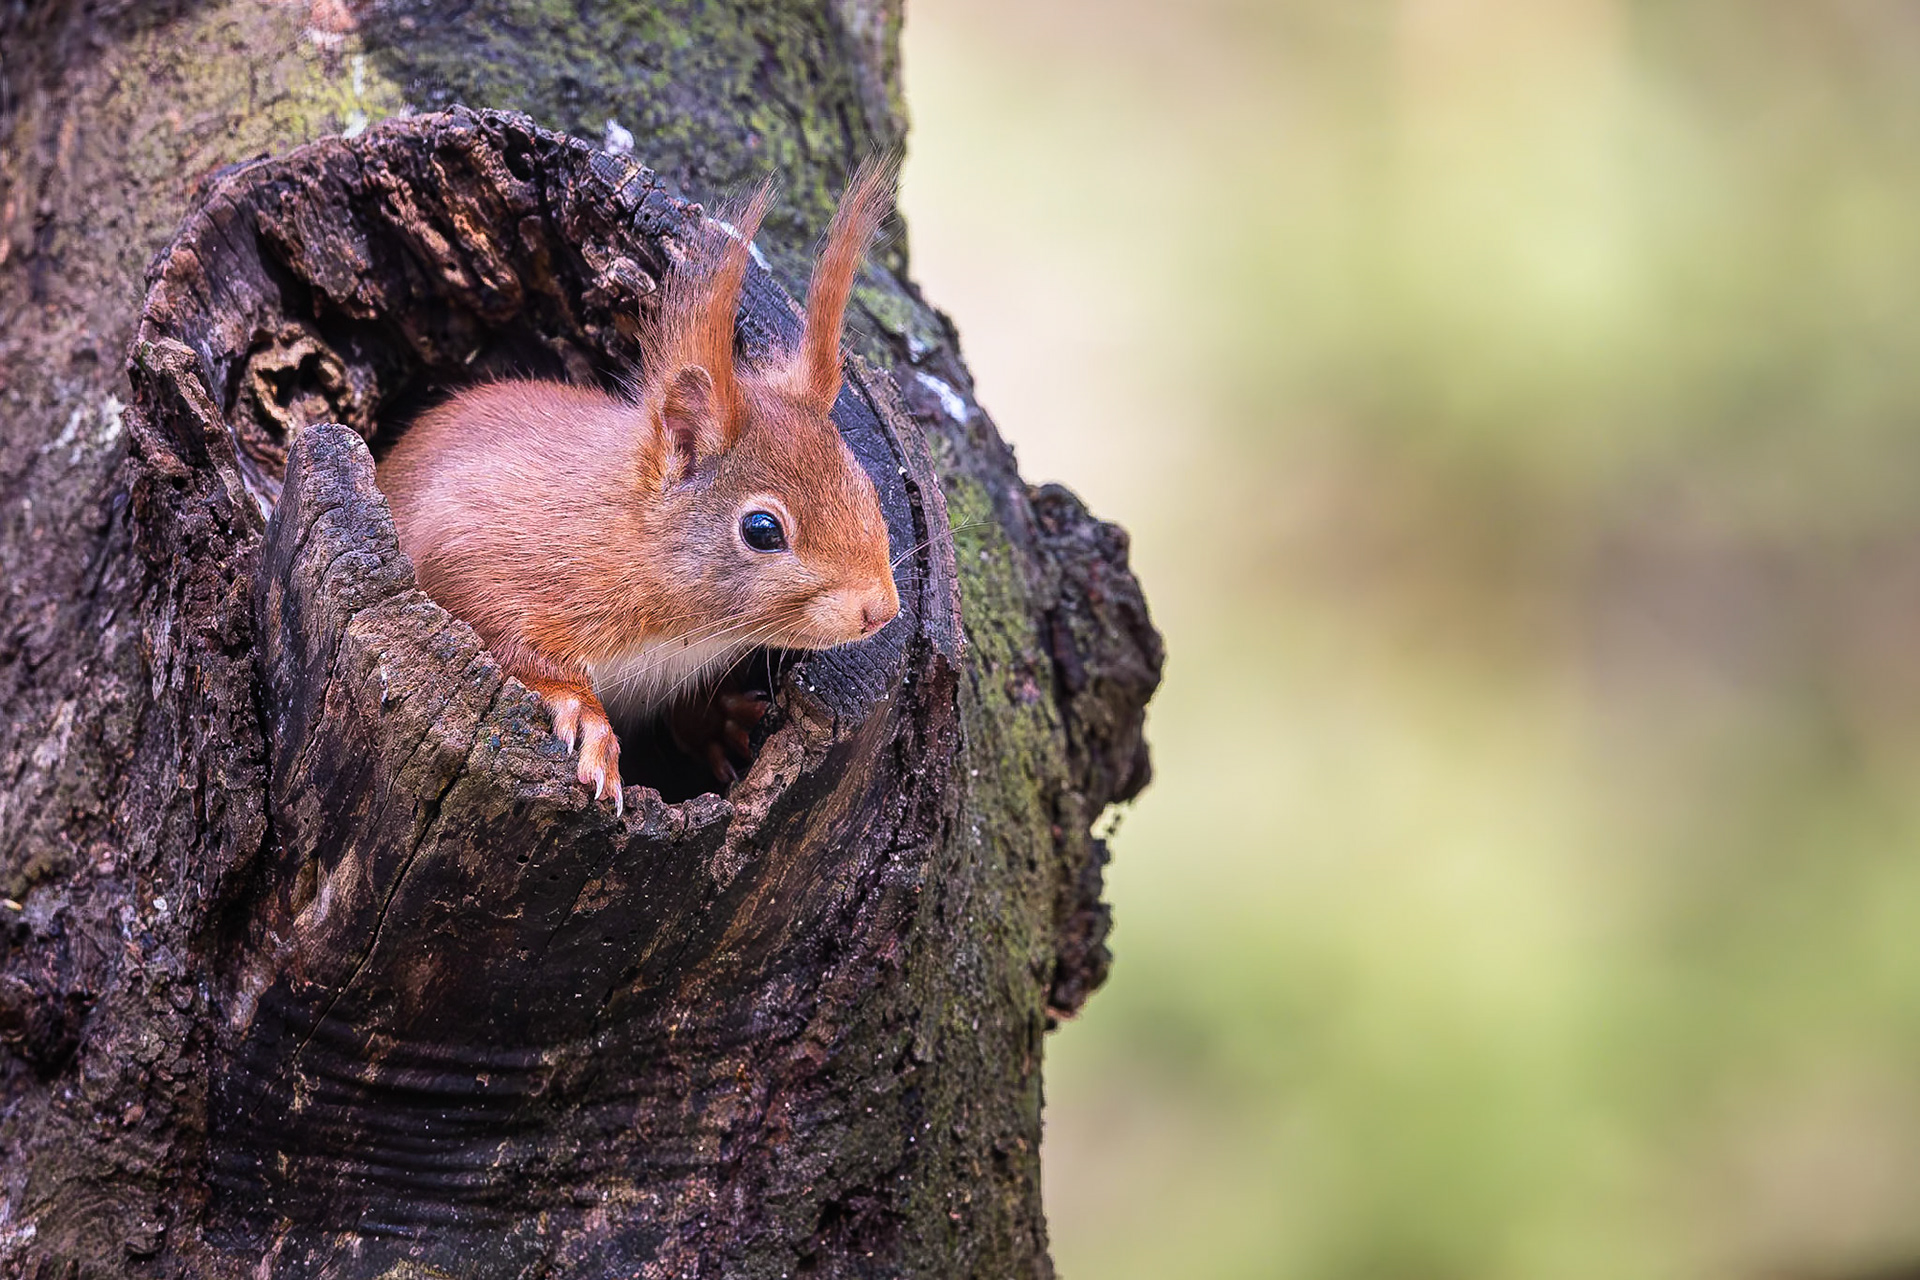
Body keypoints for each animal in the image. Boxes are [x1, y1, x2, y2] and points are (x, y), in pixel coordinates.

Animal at [374, 161, 901, 816]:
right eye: (762, 530)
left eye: (869, 489)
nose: (881, 611)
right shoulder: (480, 548)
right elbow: (507, 635)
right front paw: (589, 723)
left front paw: (716, 721)